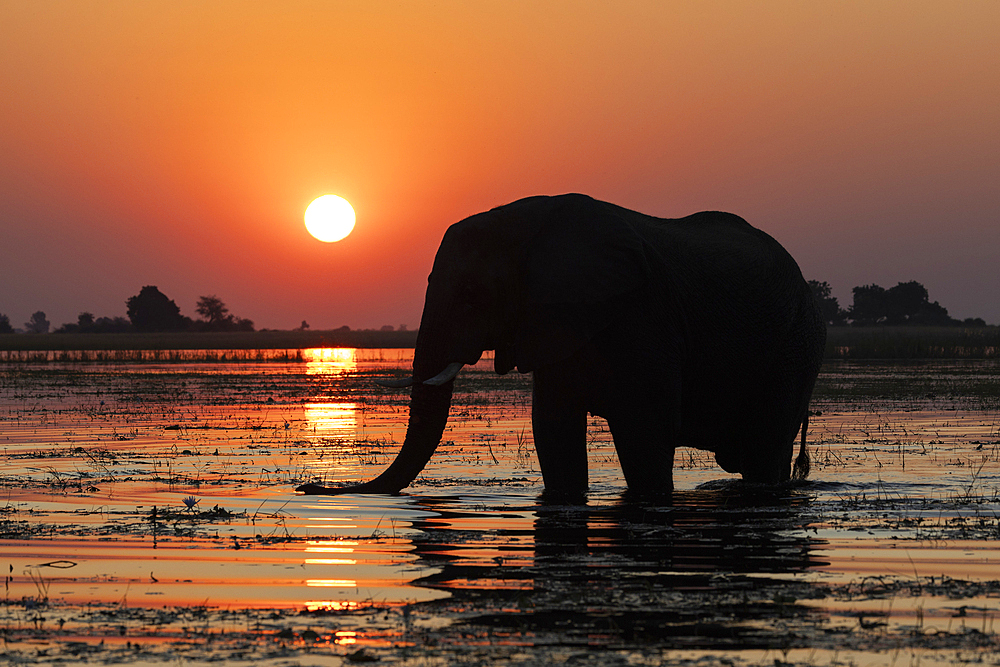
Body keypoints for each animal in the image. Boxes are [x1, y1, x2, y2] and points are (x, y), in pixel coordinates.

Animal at [296, 193, 828, 496]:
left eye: (470, 294)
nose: (311, 486)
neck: (534, 224)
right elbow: (553, 428)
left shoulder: (644, 315)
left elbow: (644, 431)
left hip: (797, 344)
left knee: (765, 449)